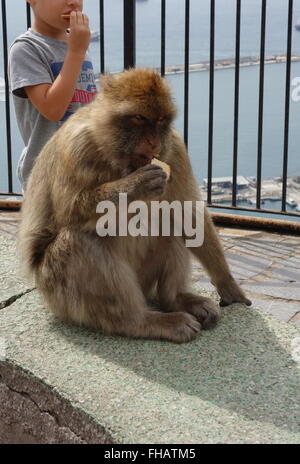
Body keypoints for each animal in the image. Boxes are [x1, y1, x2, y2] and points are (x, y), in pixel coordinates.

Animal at [17, 67, 252, 342]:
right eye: (139, 118)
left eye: (160, 121)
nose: (153, 143)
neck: (111, 149)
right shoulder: (77, 147)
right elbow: (67, 212)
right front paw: (137, 184)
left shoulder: (173, 149)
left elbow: (188, 214)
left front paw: (227, 284)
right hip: (60, 295)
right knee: (77, 241)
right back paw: (141, 321)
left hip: (143, 279)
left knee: (171, 221)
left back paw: (175, 299)